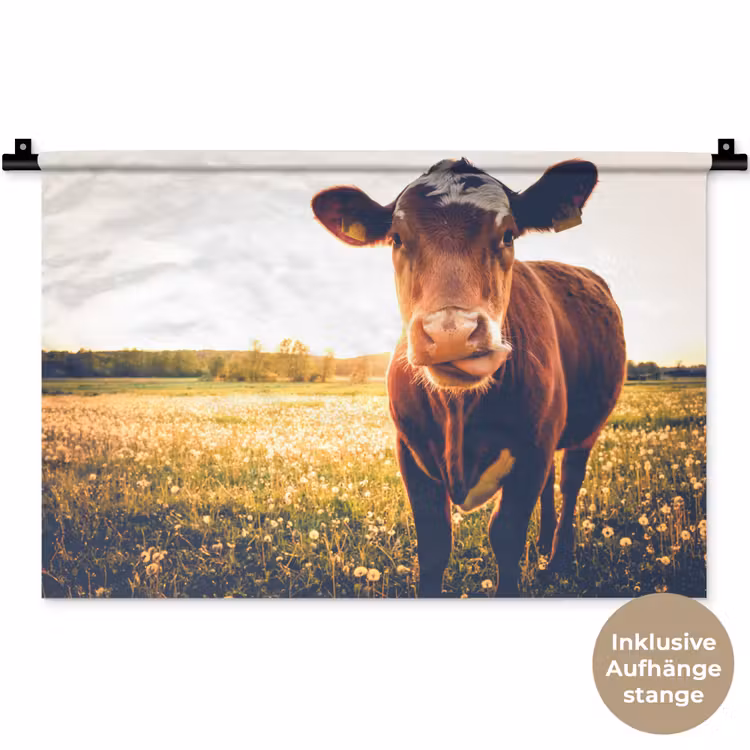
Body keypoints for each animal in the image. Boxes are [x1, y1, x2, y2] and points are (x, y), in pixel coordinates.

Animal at [311, 158, 626, 596]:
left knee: (569, 482)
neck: (459, 413)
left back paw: (557, 558)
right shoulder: (410, 451)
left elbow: (506, 536)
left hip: (585, 429)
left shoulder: (533, 449)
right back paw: (543, 544)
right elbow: (434, 543)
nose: (451, 333)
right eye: (396, 238)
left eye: (508, 234)